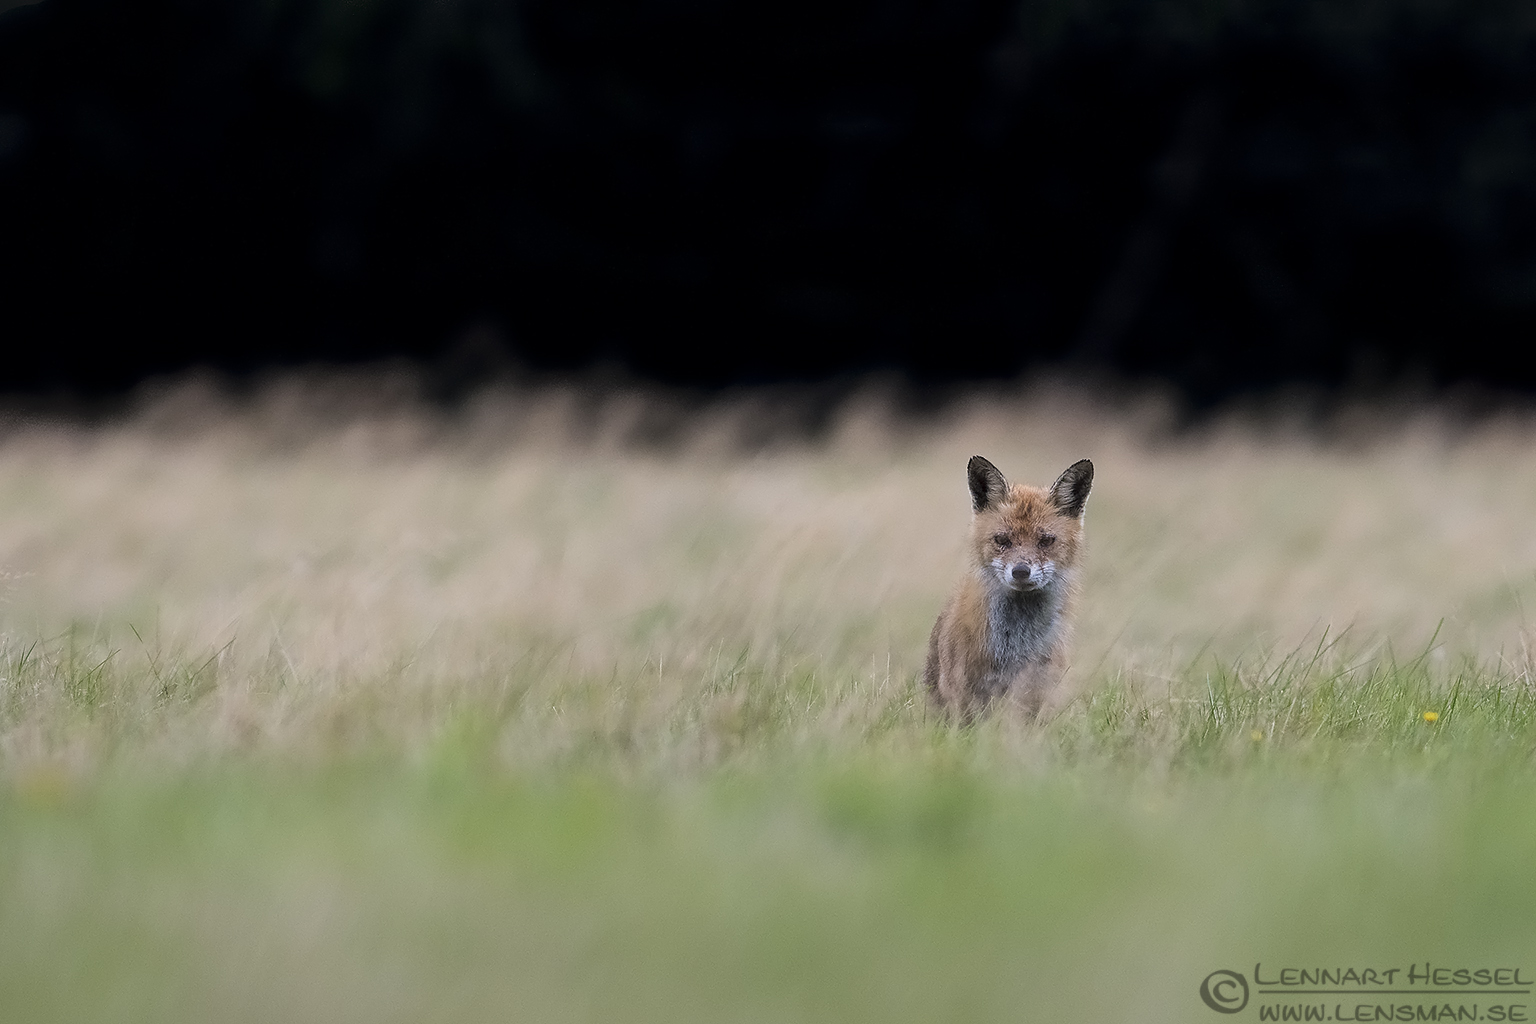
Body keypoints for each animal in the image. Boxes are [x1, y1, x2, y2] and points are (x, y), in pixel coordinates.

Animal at [924, 455, 1094, 721]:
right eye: (1002, 540)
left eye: (1046, 541)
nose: (1021, 571)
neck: (1015, 647)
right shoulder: (964, 692)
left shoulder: (1040, 691)